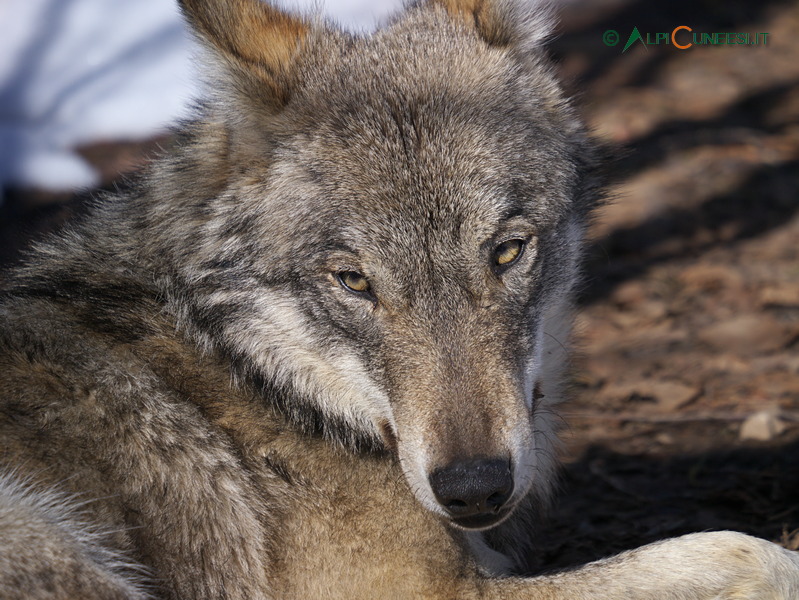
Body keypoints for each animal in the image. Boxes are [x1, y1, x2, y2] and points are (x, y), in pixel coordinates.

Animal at [1, 0, 799, 596]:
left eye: (506, 252)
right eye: (355, 281)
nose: (474, 488)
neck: (252, 373)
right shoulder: (425, 592)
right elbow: (739, 550)